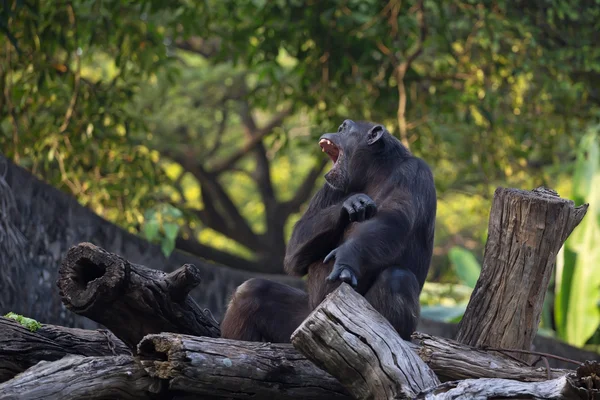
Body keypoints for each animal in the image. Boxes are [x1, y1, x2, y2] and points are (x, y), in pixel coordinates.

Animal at [220, 118, 436, 340]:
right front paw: (350, 204)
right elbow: (296, 244)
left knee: (397, 278)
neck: (374, 171)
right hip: (304, 319)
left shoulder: (414, 172)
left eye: (344, 129)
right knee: (251, 291)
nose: (336, 130)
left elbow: (393, 219)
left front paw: (347, 257)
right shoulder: (329, 188)